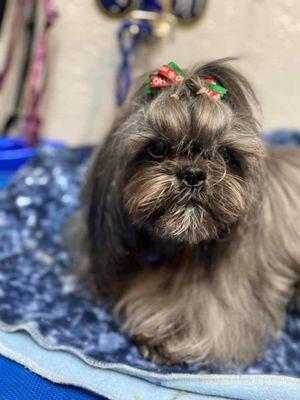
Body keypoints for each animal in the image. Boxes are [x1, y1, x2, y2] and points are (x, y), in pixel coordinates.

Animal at [78, 57, 300, 368]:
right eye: (157, 147)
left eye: (225, 153)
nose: (193, 174)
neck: (180, 247)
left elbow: (213, 313)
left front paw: (168, 336)